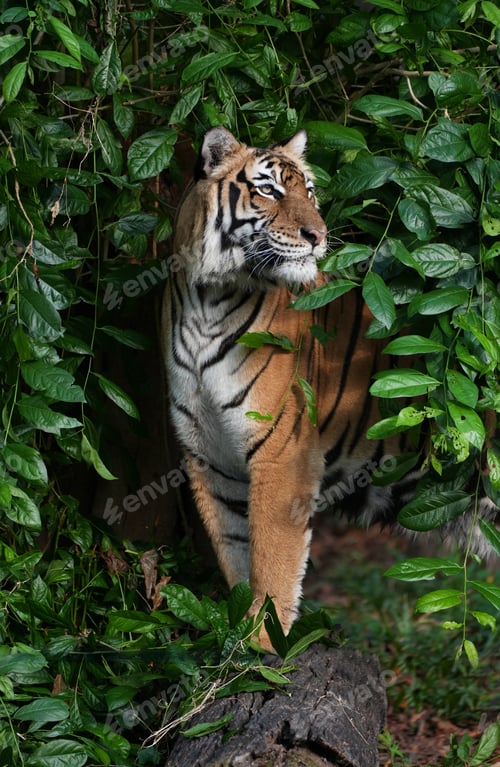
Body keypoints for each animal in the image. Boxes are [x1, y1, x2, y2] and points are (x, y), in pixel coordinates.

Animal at [161, 126, 495, 651]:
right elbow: (235, 550)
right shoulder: (208, 456)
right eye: (269, 191)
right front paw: (238, 640)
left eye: (310, 192)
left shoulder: (282, 453)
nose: (317, 237)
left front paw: (262, 644)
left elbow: (271, 561)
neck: (207, 299)